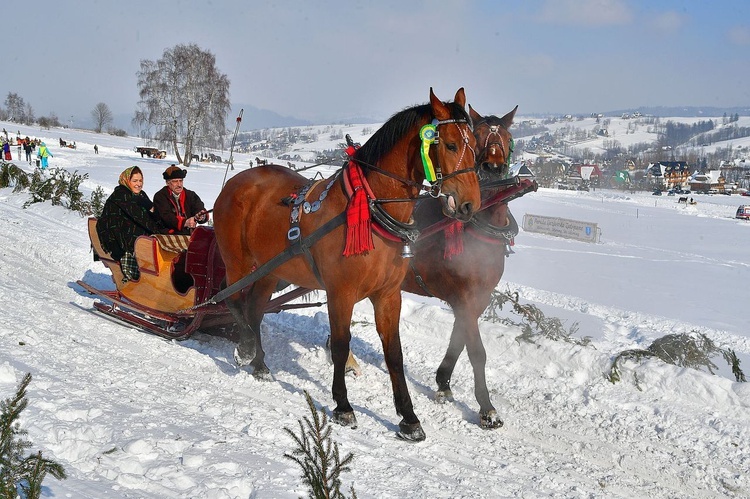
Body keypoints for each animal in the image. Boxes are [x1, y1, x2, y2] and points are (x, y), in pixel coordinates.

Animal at [213, 89, 482, 442]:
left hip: (271, 270)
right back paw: (245, 348)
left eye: (475, 145)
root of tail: (237, 181)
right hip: (239, 261)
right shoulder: (340, 293)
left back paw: (260, 364)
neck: (371, 208)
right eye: (450, 145)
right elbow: (341, 346)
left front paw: (408, 418)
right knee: (230, 298)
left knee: (255, 309)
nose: (470, 205)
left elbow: (394, 353)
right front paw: (342, 405)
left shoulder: (387, 295)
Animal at [346, 103, 516, 428]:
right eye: (478, 137)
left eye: (508, 138)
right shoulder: (464, 296)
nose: (493, 168)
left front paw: (443, 382)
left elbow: (459, 339)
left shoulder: (477, 298)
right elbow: (476, 351)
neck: (478, 224)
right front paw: (487, 408)